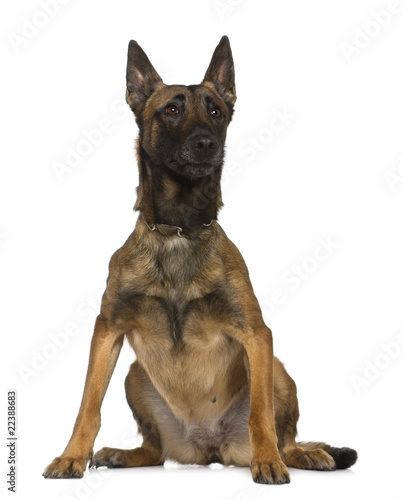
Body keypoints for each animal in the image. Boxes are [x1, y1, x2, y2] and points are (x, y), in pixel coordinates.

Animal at [44, 36, 358, 484]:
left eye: (216, 112)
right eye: (171, 110)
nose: (207, 143)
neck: (179, 231)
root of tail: (209, 447)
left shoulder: (257, 336)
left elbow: (260, 414)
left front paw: (267, 461)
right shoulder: (107, 331)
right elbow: (88, 405)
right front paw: (72, 456)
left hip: (277, 370)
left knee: (285, 437)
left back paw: (303, 454)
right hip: (135, 376)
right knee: (155, 451)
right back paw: (123, 454)